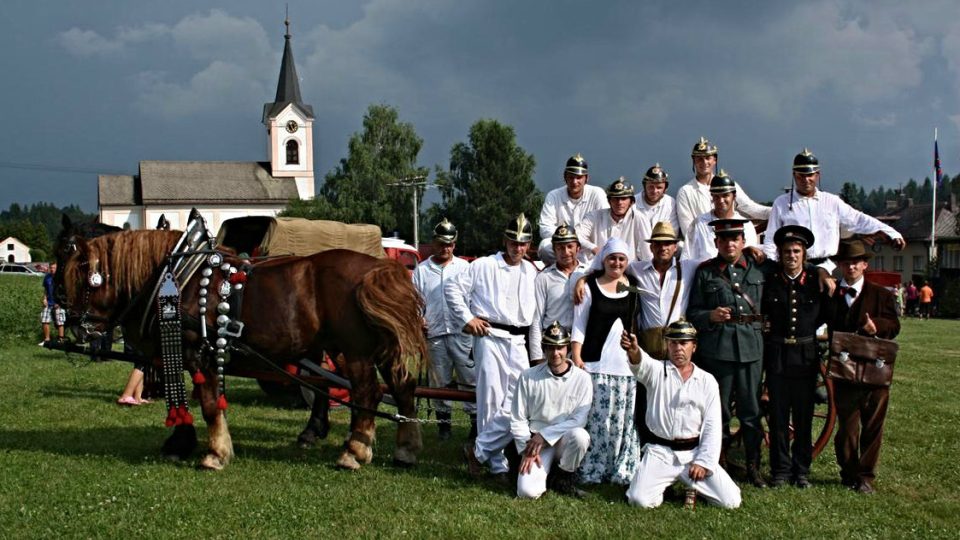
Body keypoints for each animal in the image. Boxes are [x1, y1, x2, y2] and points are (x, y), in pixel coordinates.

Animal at [54, 230, 426, 470]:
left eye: (81, 276)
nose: (68, 320)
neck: (176, 279)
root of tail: (375, 268)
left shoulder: (197, 352)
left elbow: (207, 404)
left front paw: (215, 453)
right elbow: (182, 400)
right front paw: (180, 442)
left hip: (355, 350)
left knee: (367, 393)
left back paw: (354, 452)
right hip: (376, 348)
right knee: (403, 387)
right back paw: (404, 449)